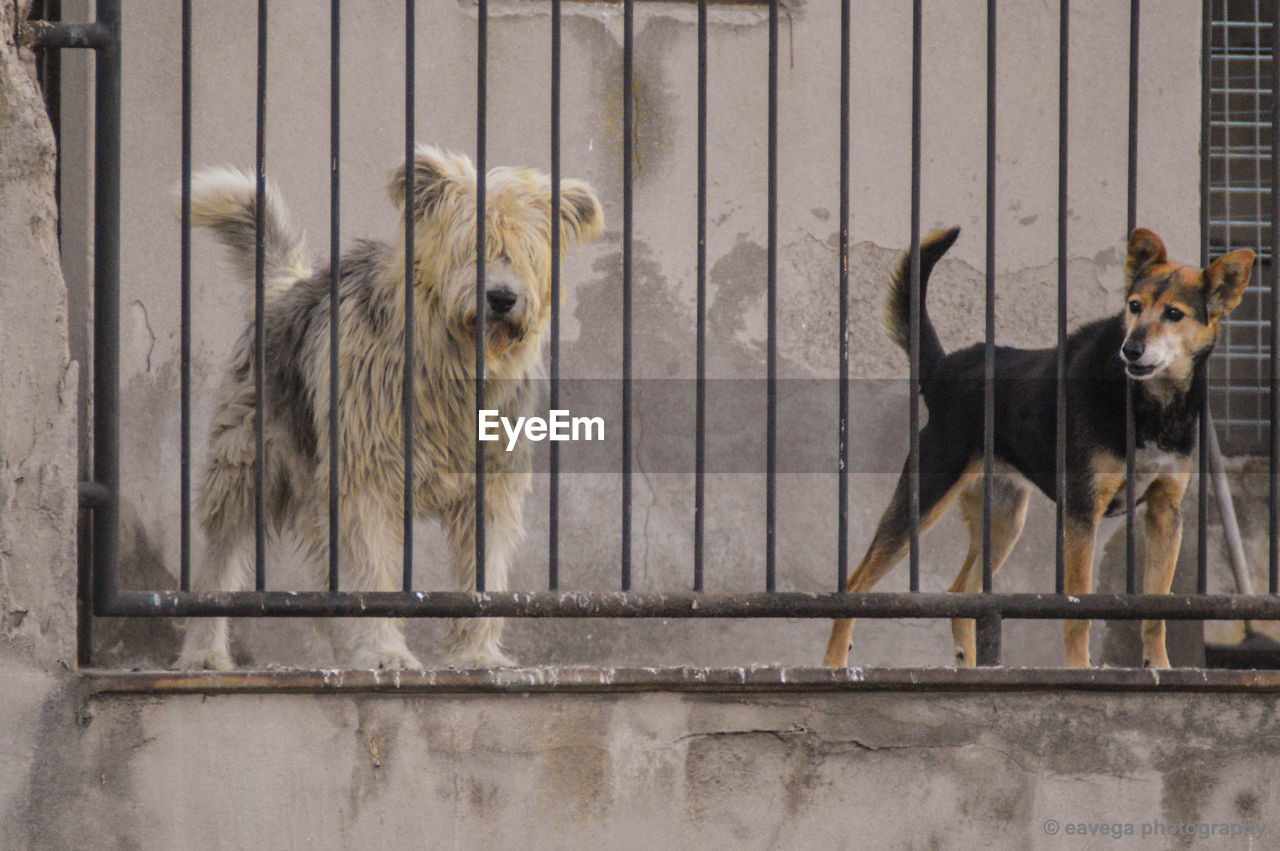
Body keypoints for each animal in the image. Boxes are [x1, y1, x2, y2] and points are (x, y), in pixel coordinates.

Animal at [824, 225, 1254, 670]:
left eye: (1174, 314)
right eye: (1134, 306)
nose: (1131, 350)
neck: (1150, 403)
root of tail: (945, 368)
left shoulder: (1165, 512)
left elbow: (1156, 610)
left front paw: (1160, 667)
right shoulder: (1083, 511)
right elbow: (1079, 608)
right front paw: (1079, 669)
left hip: (1005, 519)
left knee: (961, 593)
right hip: (924, 497)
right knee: (856, 584)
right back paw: (835, 663)